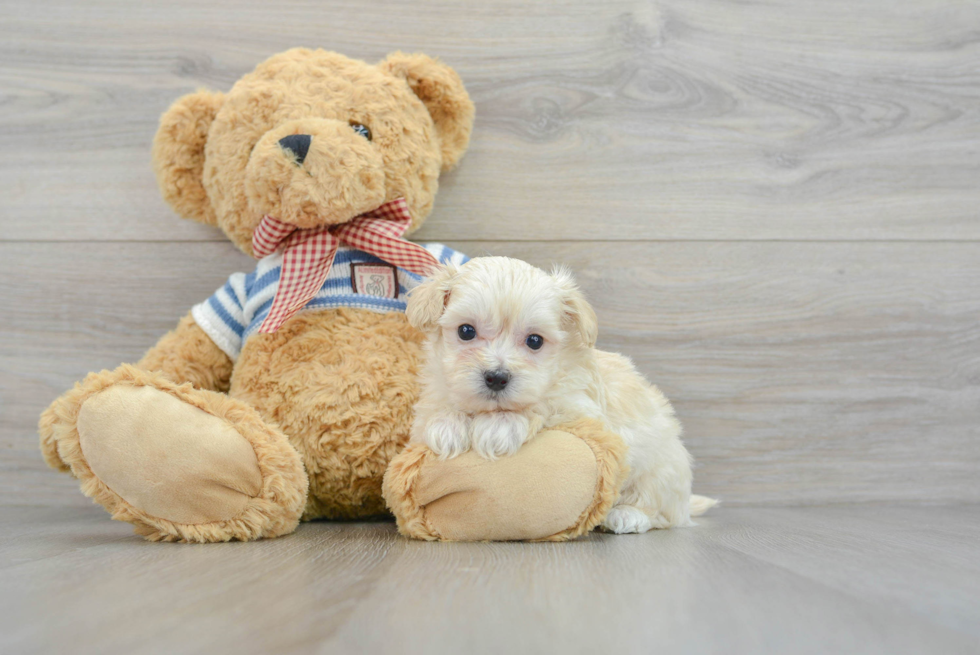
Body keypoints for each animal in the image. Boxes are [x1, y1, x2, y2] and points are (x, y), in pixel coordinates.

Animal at [404, 256, 712, 532]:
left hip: (661, 468)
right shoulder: (433, 393)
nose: (497, 377)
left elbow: (542, 405)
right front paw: (447, 426)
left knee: (660, 511)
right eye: (466, 331)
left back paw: (627, 515)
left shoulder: (580, 407)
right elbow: (438, 410)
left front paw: (499, 425)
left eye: (535, 341)